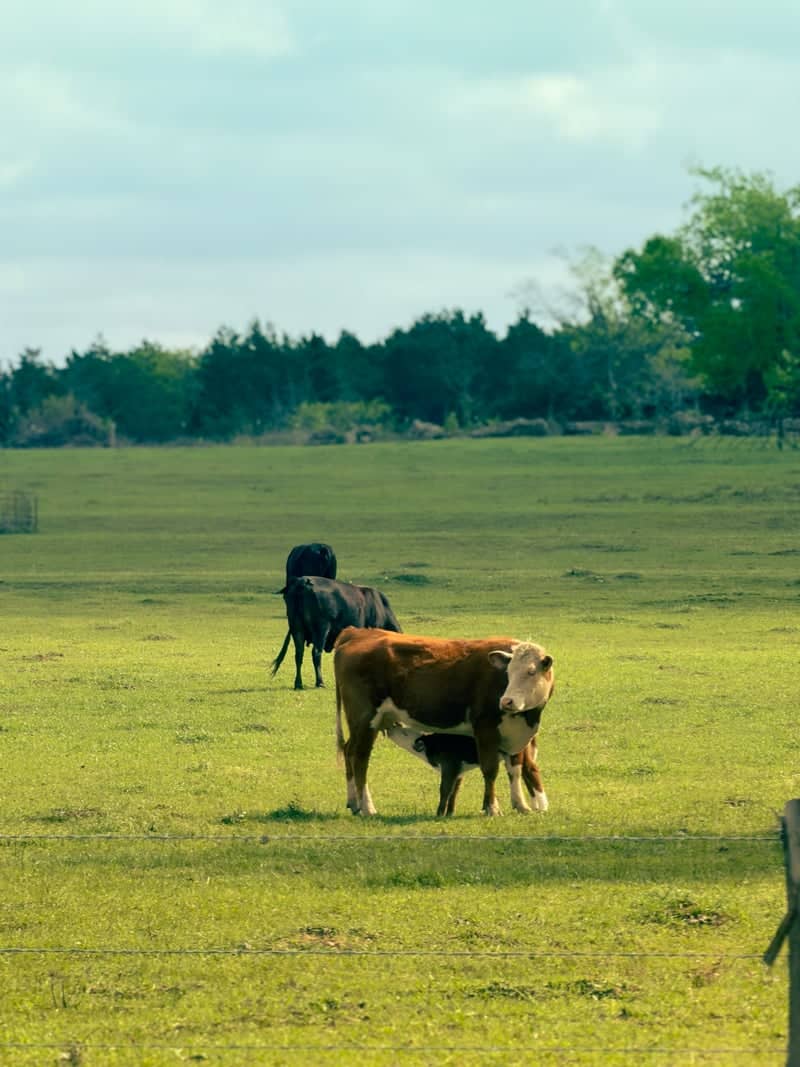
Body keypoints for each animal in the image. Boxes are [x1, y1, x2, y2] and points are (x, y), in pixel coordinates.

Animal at [272, 576, 402, 690]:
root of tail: (303, 582)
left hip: (296, 628)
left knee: (299, 654)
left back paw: (298, 684)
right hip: (321, 628)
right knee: (316, 653)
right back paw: (320, 682)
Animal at [380, 723, 548, 817]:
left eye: (405, 732)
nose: (389, 728)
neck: (432, 745)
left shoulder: (449, 766)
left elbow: (445, 790)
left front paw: (439, 813)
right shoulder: (459, 771)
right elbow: (454, 792)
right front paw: (449, 813)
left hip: (516, 754)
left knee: (530, 771)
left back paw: (541, 806)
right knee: (527, 773)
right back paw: (535, 805)